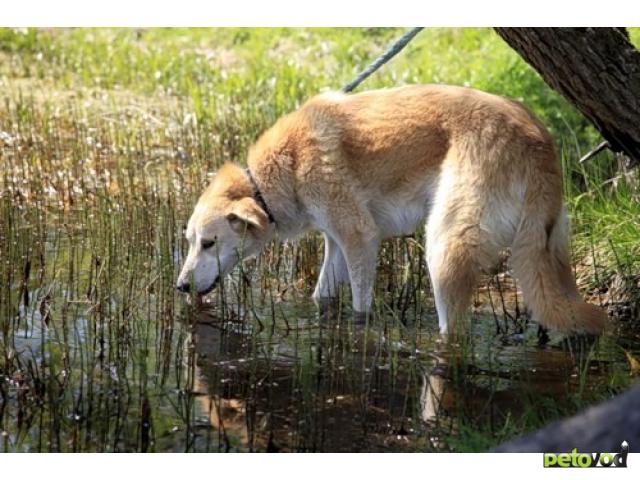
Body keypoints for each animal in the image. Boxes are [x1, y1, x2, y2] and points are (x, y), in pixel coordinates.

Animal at [178, 83, 608, 334]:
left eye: (209, 243)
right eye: (190, 241)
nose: (180, 287)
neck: (280, 170)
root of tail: (537, 141)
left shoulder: (360, 240)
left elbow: (360, 307)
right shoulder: (337, 244)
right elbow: (321, 297)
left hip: (444, 249)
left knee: (453, 334)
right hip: (549, 252)